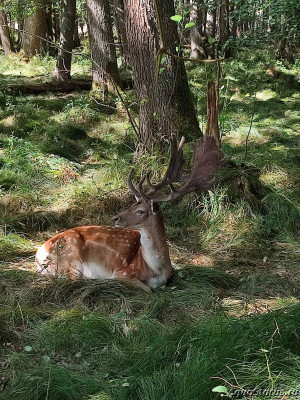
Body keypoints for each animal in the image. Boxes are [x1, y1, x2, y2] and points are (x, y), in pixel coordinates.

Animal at [35, 134, 223, 290]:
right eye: (132, 205)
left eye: (140, 210)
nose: (116, 218)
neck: (156, 269)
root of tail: (39, 253)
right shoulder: (122, 272)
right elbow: (147, 289)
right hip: (70, 259)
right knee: (72, 279)